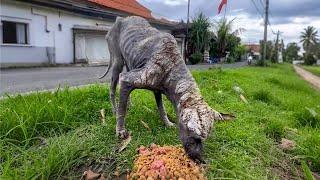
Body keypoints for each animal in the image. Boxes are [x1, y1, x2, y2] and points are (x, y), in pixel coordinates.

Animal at [99, 16, 222, 163]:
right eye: (194, 137)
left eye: (204, 139)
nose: (200, 160)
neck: (172, 62)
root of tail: (121, 18)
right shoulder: (130, 78)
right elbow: (122, 110)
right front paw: (120, 130)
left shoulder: (158, 88)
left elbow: (161, 108)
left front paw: (167, 123)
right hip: (117, 61)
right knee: (113, 88)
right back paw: (114, 110)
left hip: (130, 62)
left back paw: (129, 104)